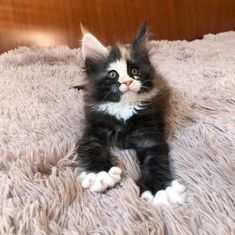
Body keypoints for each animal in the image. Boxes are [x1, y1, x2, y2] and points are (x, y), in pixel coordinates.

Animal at [76, 23, 186, 205]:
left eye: (134, 71)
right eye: (112, 74)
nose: (127, 82)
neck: (123, 108)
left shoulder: (149, 133)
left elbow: (155, 159)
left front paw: (160, 188)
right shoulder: (93, 128)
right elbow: (91, 148)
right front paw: (100, 174)